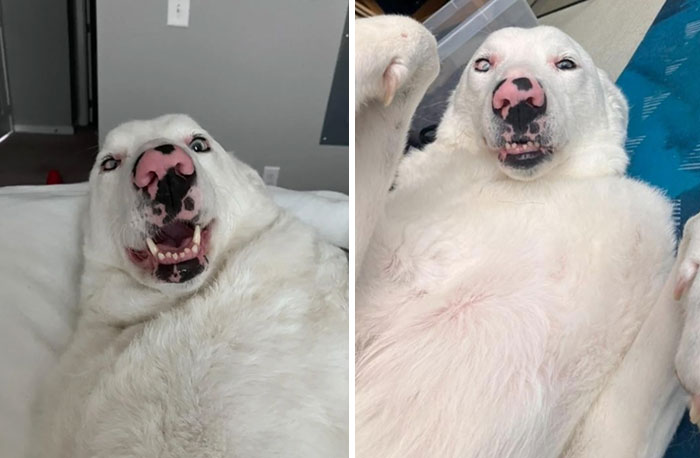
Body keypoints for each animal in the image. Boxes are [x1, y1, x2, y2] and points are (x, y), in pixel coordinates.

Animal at [358, 16, 688, 456]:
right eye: (483, 64)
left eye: (565, 64)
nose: (516, 98)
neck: (526, 191)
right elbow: (422, 37)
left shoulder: (607, 438)